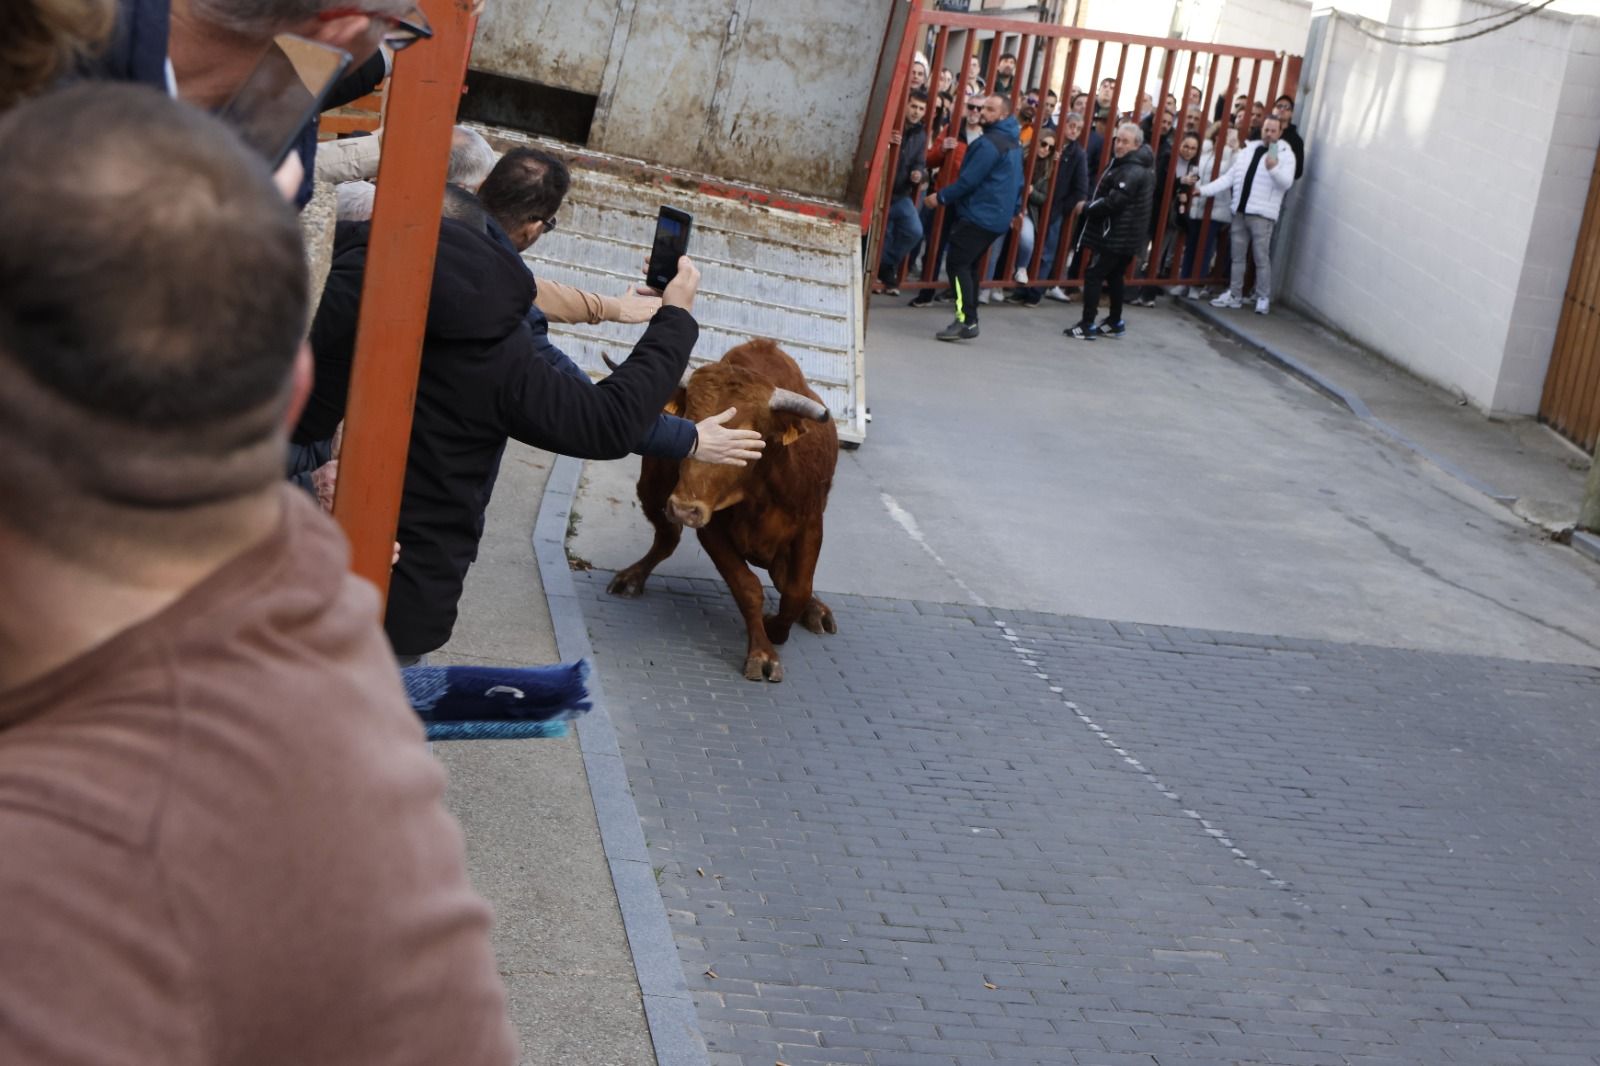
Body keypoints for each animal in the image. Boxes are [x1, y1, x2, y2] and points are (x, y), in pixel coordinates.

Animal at [604, 337, 844, 681]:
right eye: (692, 425)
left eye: (748, 436)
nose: (684, 508)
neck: (759, 495)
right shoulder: (711, 529)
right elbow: (748, 587)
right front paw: (762, 652)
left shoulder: (810, 527)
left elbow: (796, 590)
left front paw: (778, 626)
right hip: (652, 489)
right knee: (666, 538)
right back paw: (632, 577)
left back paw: (817, 610)